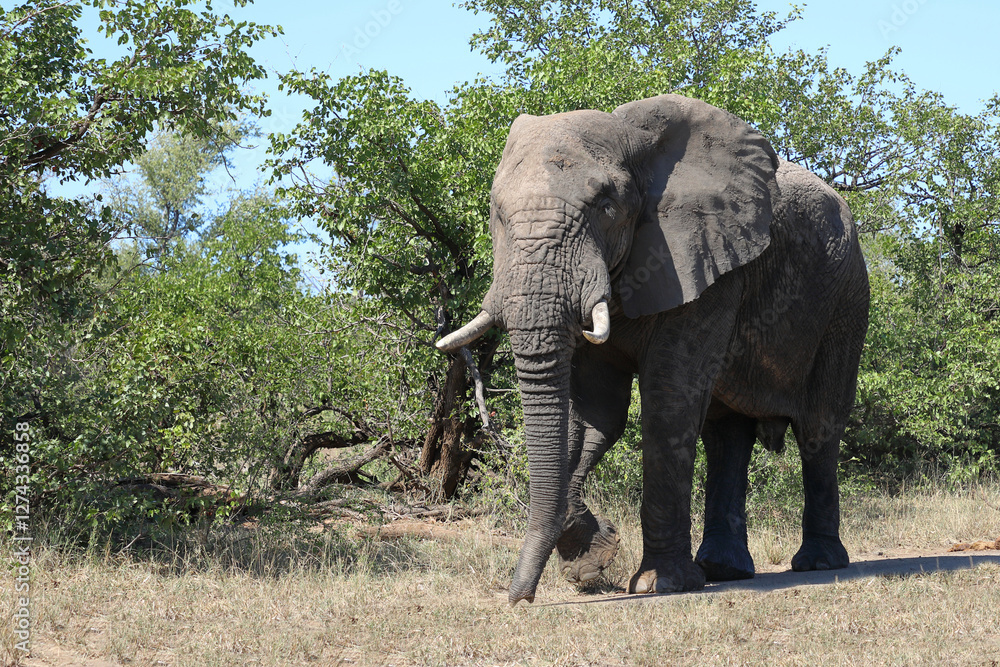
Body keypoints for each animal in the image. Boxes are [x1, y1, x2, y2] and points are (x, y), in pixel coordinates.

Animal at [436, 94, 870, 604]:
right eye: (497, 213)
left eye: (606, 206)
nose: (519, 599)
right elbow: (595, 413)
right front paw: (593, 560)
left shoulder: (705, 263)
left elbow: (669, 401)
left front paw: (658, 584)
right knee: (726, 435)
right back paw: (723, 568)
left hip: (846, 299)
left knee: (819, 428)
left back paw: (817, 563)